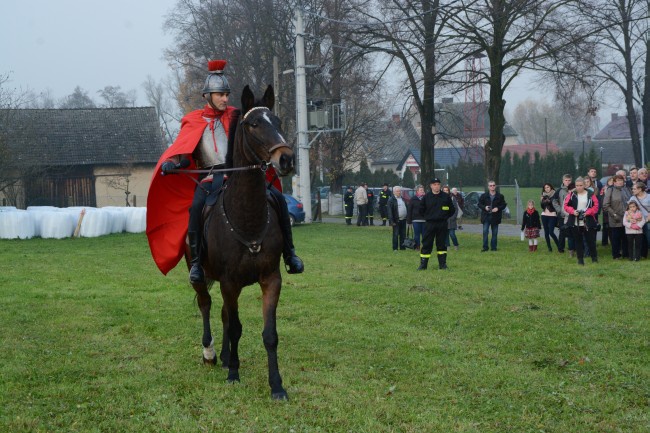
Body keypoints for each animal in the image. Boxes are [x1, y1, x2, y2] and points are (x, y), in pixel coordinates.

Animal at [190, 82, 294, 400]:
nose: (286, 159)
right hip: (201, 276)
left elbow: (269, 334)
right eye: (254, 124)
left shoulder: (271, 279)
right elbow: (235, 327)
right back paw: (211, 353)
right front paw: (234, 374)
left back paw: (224, 356)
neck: (247, 220)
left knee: (223, 313)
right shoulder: (229, 282)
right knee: (206, 305)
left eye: (279, 122)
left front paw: (277, 386)